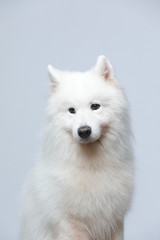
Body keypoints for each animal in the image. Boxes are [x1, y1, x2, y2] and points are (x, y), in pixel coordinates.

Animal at [20, 55, 134, 239]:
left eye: (95, 106)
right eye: (71, 110)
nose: (84, 131)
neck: (91, 165)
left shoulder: (114, 222)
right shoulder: (70, 225)